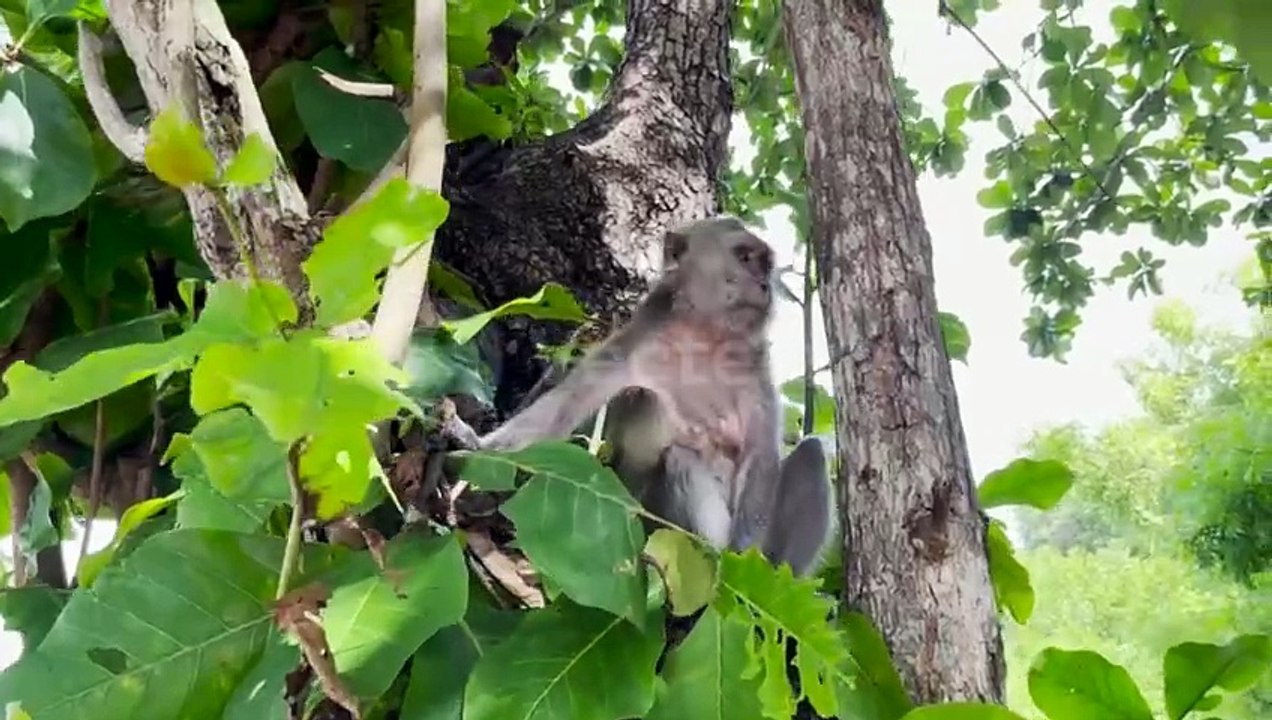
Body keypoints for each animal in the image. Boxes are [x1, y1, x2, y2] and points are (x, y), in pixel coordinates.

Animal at [475, 216, 833, 576]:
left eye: (765, 264)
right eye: (745, 257)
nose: (763, 285)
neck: (703, 337)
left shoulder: (754, 372)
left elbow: (760, 456)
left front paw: (745, 558)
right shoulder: (631, 347)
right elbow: (560, 412)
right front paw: (480, 447)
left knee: (811, 454)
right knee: (655, 416)